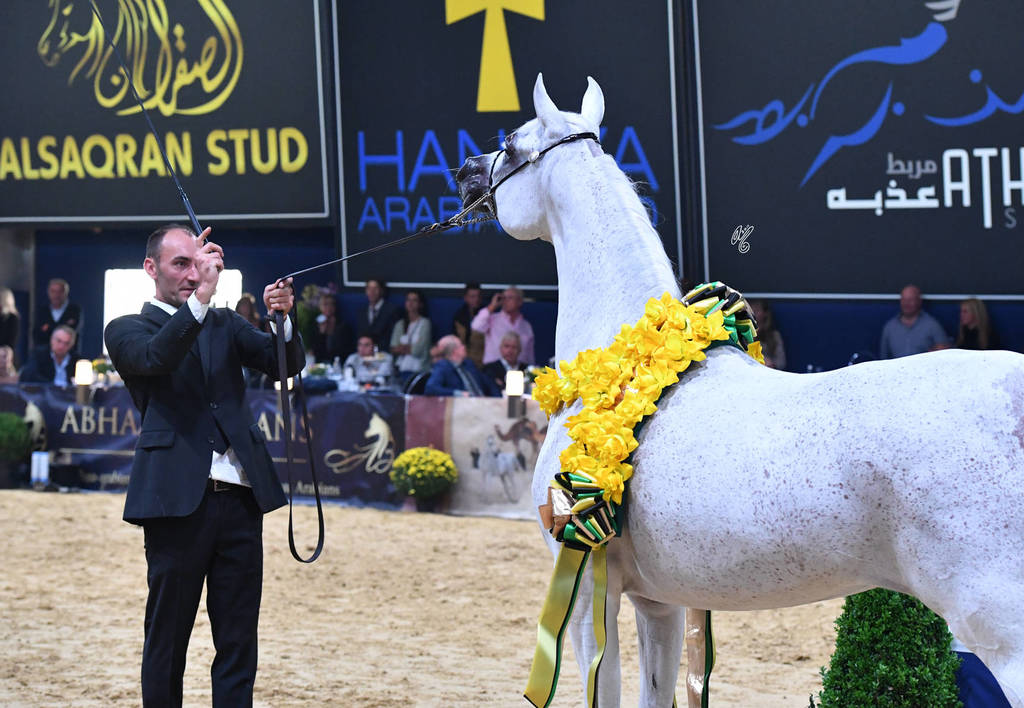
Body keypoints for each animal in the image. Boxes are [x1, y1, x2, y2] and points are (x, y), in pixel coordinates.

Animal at [455, 74, 1024, 707]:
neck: (624, 361)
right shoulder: (659, 603)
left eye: (511, 141)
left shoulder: (583, 595)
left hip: (1003, 636)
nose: (468, 172)